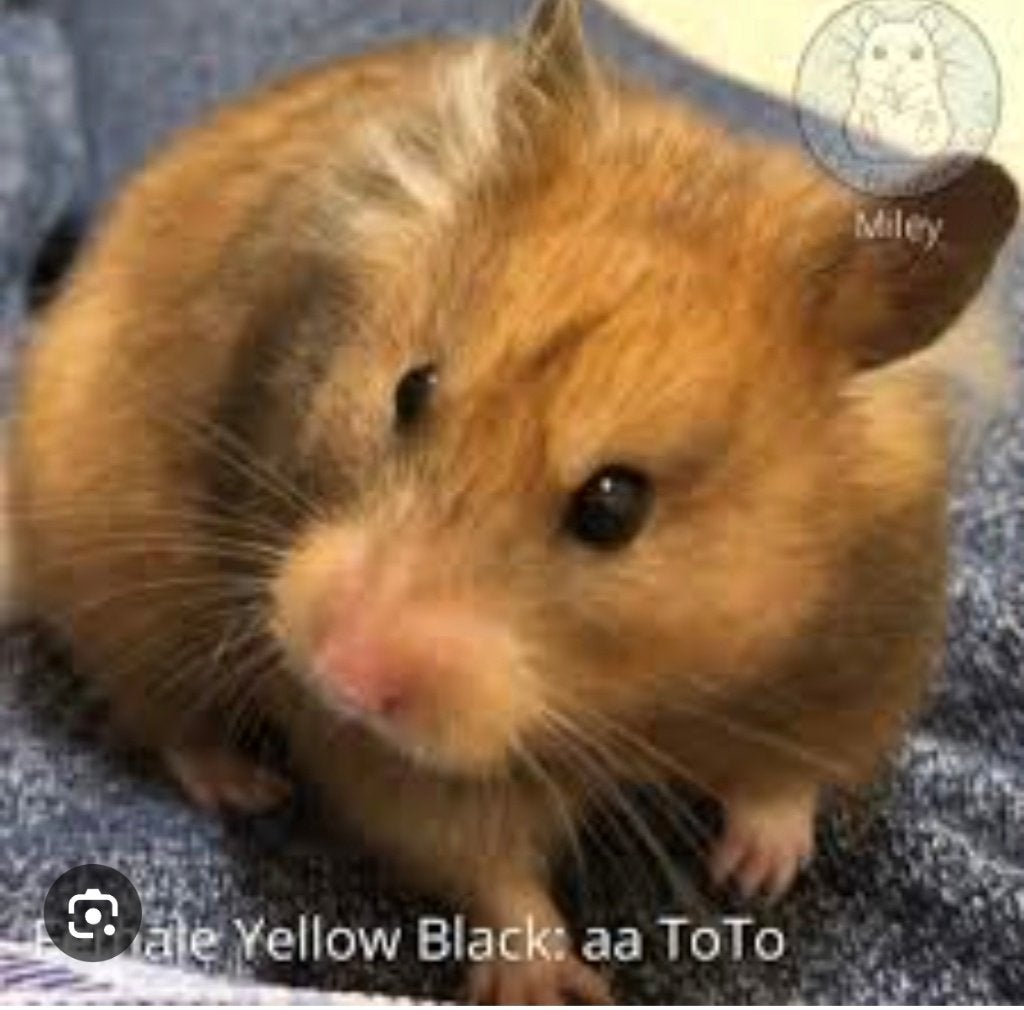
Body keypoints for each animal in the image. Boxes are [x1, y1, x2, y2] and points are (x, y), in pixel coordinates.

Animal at [844, 5, 954, 162]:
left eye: (917, 53)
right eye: (878, 52)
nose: (898, 68)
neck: (898, 93)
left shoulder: (931, 105)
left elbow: (929, 116)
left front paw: (922, 134)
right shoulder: (865, 104)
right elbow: (868, 114)